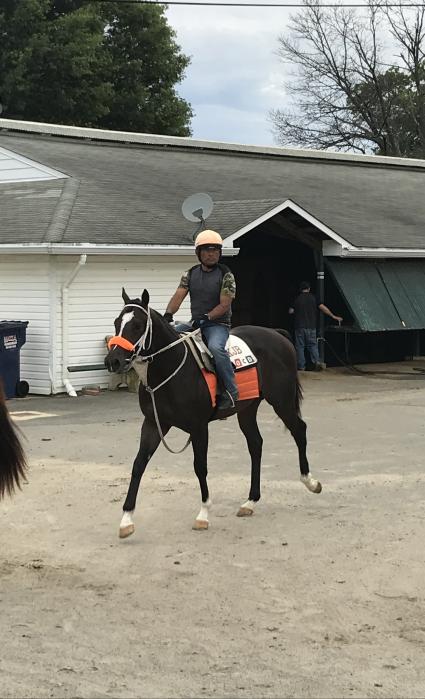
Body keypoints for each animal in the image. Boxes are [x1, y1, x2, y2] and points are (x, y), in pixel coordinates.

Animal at [104, 288, 320, 540]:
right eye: (117, 322)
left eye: (137, 325)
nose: (113, 360)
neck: (170, 368)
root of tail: (277, 334)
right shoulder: (153, 424)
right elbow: (139, 464)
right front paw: (126, 520)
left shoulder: (199, 427)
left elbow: (200, 466)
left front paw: (203, 514)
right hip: (247, 410)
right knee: (256, 444)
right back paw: (250, 501)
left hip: (281, 401)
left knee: (299, 430)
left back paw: (310, 481)